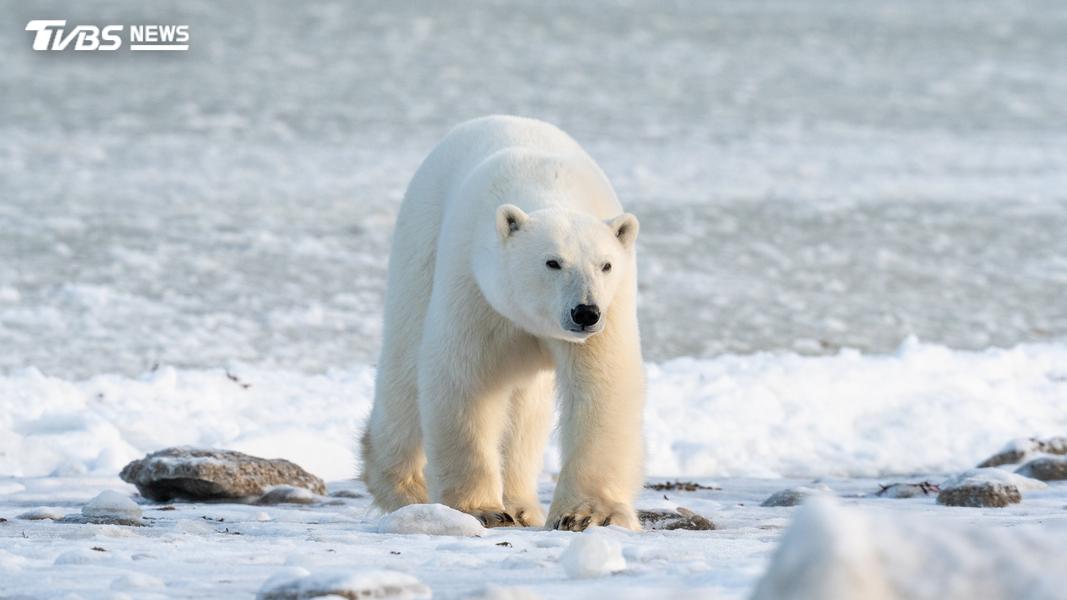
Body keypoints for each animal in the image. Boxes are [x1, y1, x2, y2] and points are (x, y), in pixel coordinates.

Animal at [360, 115, 645, 531]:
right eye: (552, 262)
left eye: (605, 264)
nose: (585, 312)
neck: (549, 184)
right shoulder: (476, 287)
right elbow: (466, 379)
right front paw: (481, 509)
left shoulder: (612, 309)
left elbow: (602, 385)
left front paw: (587, 515)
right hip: (419, 246)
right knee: (405, 366)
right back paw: (404, 486)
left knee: (526, 411)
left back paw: (522, 504)